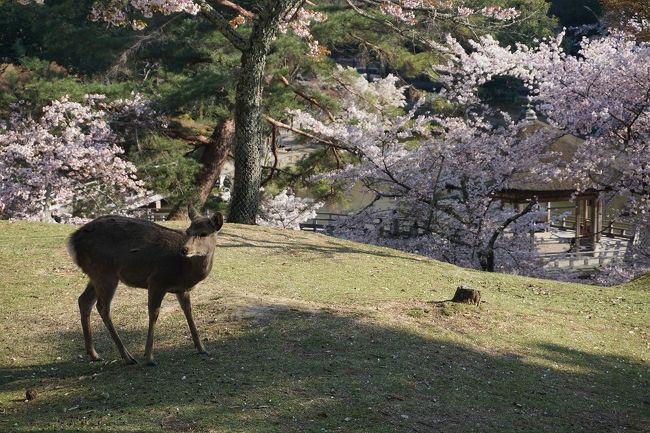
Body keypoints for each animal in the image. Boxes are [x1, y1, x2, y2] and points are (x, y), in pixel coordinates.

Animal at [66, 206, 223, 364]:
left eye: (203, 233)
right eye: (188, 231)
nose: (184, 250)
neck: (184, 270)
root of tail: (72, 241)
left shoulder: (181, 289)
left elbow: (188, 311)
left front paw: (202, 348)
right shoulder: (157, 280)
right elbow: (154, 313)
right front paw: (149, 357)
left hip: (95, 274)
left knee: (84, 301)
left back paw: (94, 354)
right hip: (105, 273)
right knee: (102, 307)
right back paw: (127, 357)